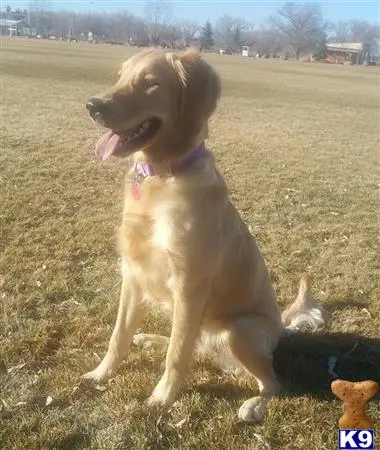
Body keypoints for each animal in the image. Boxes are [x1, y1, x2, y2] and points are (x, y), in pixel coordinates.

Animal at [84, 48, 326, 422]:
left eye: (151, 83)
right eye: (120, 76)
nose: (92, 105)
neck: (163, 176)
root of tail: (280, 330)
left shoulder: (189, 286)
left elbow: (177, 354)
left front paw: (162, 399)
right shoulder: (133, 275)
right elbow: (119, 337)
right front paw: (100, 373)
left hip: (237, 330)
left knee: (272, 382)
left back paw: (254, 405)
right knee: (193, 346)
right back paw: (150, 338)